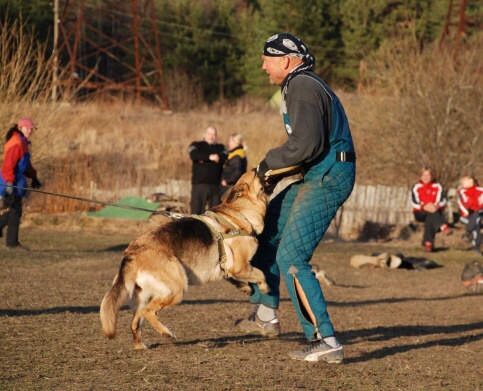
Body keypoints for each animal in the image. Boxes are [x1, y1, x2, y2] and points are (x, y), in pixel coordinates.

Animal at [99, 170, 272, 350]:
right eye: (256, 174)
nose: (260, 168)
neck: (240, 211)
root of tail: (132, 252)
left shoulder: (231, 268)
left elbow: (237, 277)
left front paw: (246, 288)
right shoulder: (240, 266)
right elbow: (261, 274)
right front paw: (265, 287)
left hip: (143, 297)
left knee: (135, 324)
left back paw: (141, 346)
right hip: (176, 289)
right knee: (148, 311)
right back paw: (167, 334)